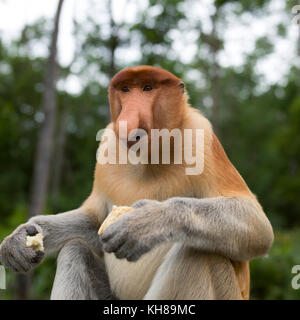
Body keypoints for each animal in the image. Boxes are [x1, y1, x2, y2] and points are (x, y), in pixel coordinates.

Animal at [0, 65, 274, 300]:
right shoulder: (107, 145)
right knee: (75, 249)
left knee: (198, 253)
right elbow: (95, 221)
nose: (127, 118)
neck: (149, 159)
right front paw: (20, 239)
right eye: (125, 90)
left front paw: (144, 223)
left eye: (147, 88)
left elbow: (257, 223)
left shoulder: (201, 137)